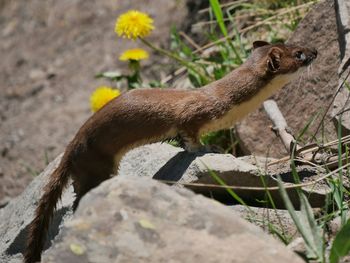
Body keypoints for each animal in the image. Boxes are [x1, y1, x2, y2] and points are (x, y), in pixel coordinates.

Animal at [22, 40, 318, 262]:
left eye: (296, 42)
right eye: (299, 54)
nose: (315, 51)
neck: (225, 102)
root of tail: (71, 146)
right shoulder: (193, 115)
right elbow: (190, 136)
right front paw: (205, 147)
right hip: (97, 162)